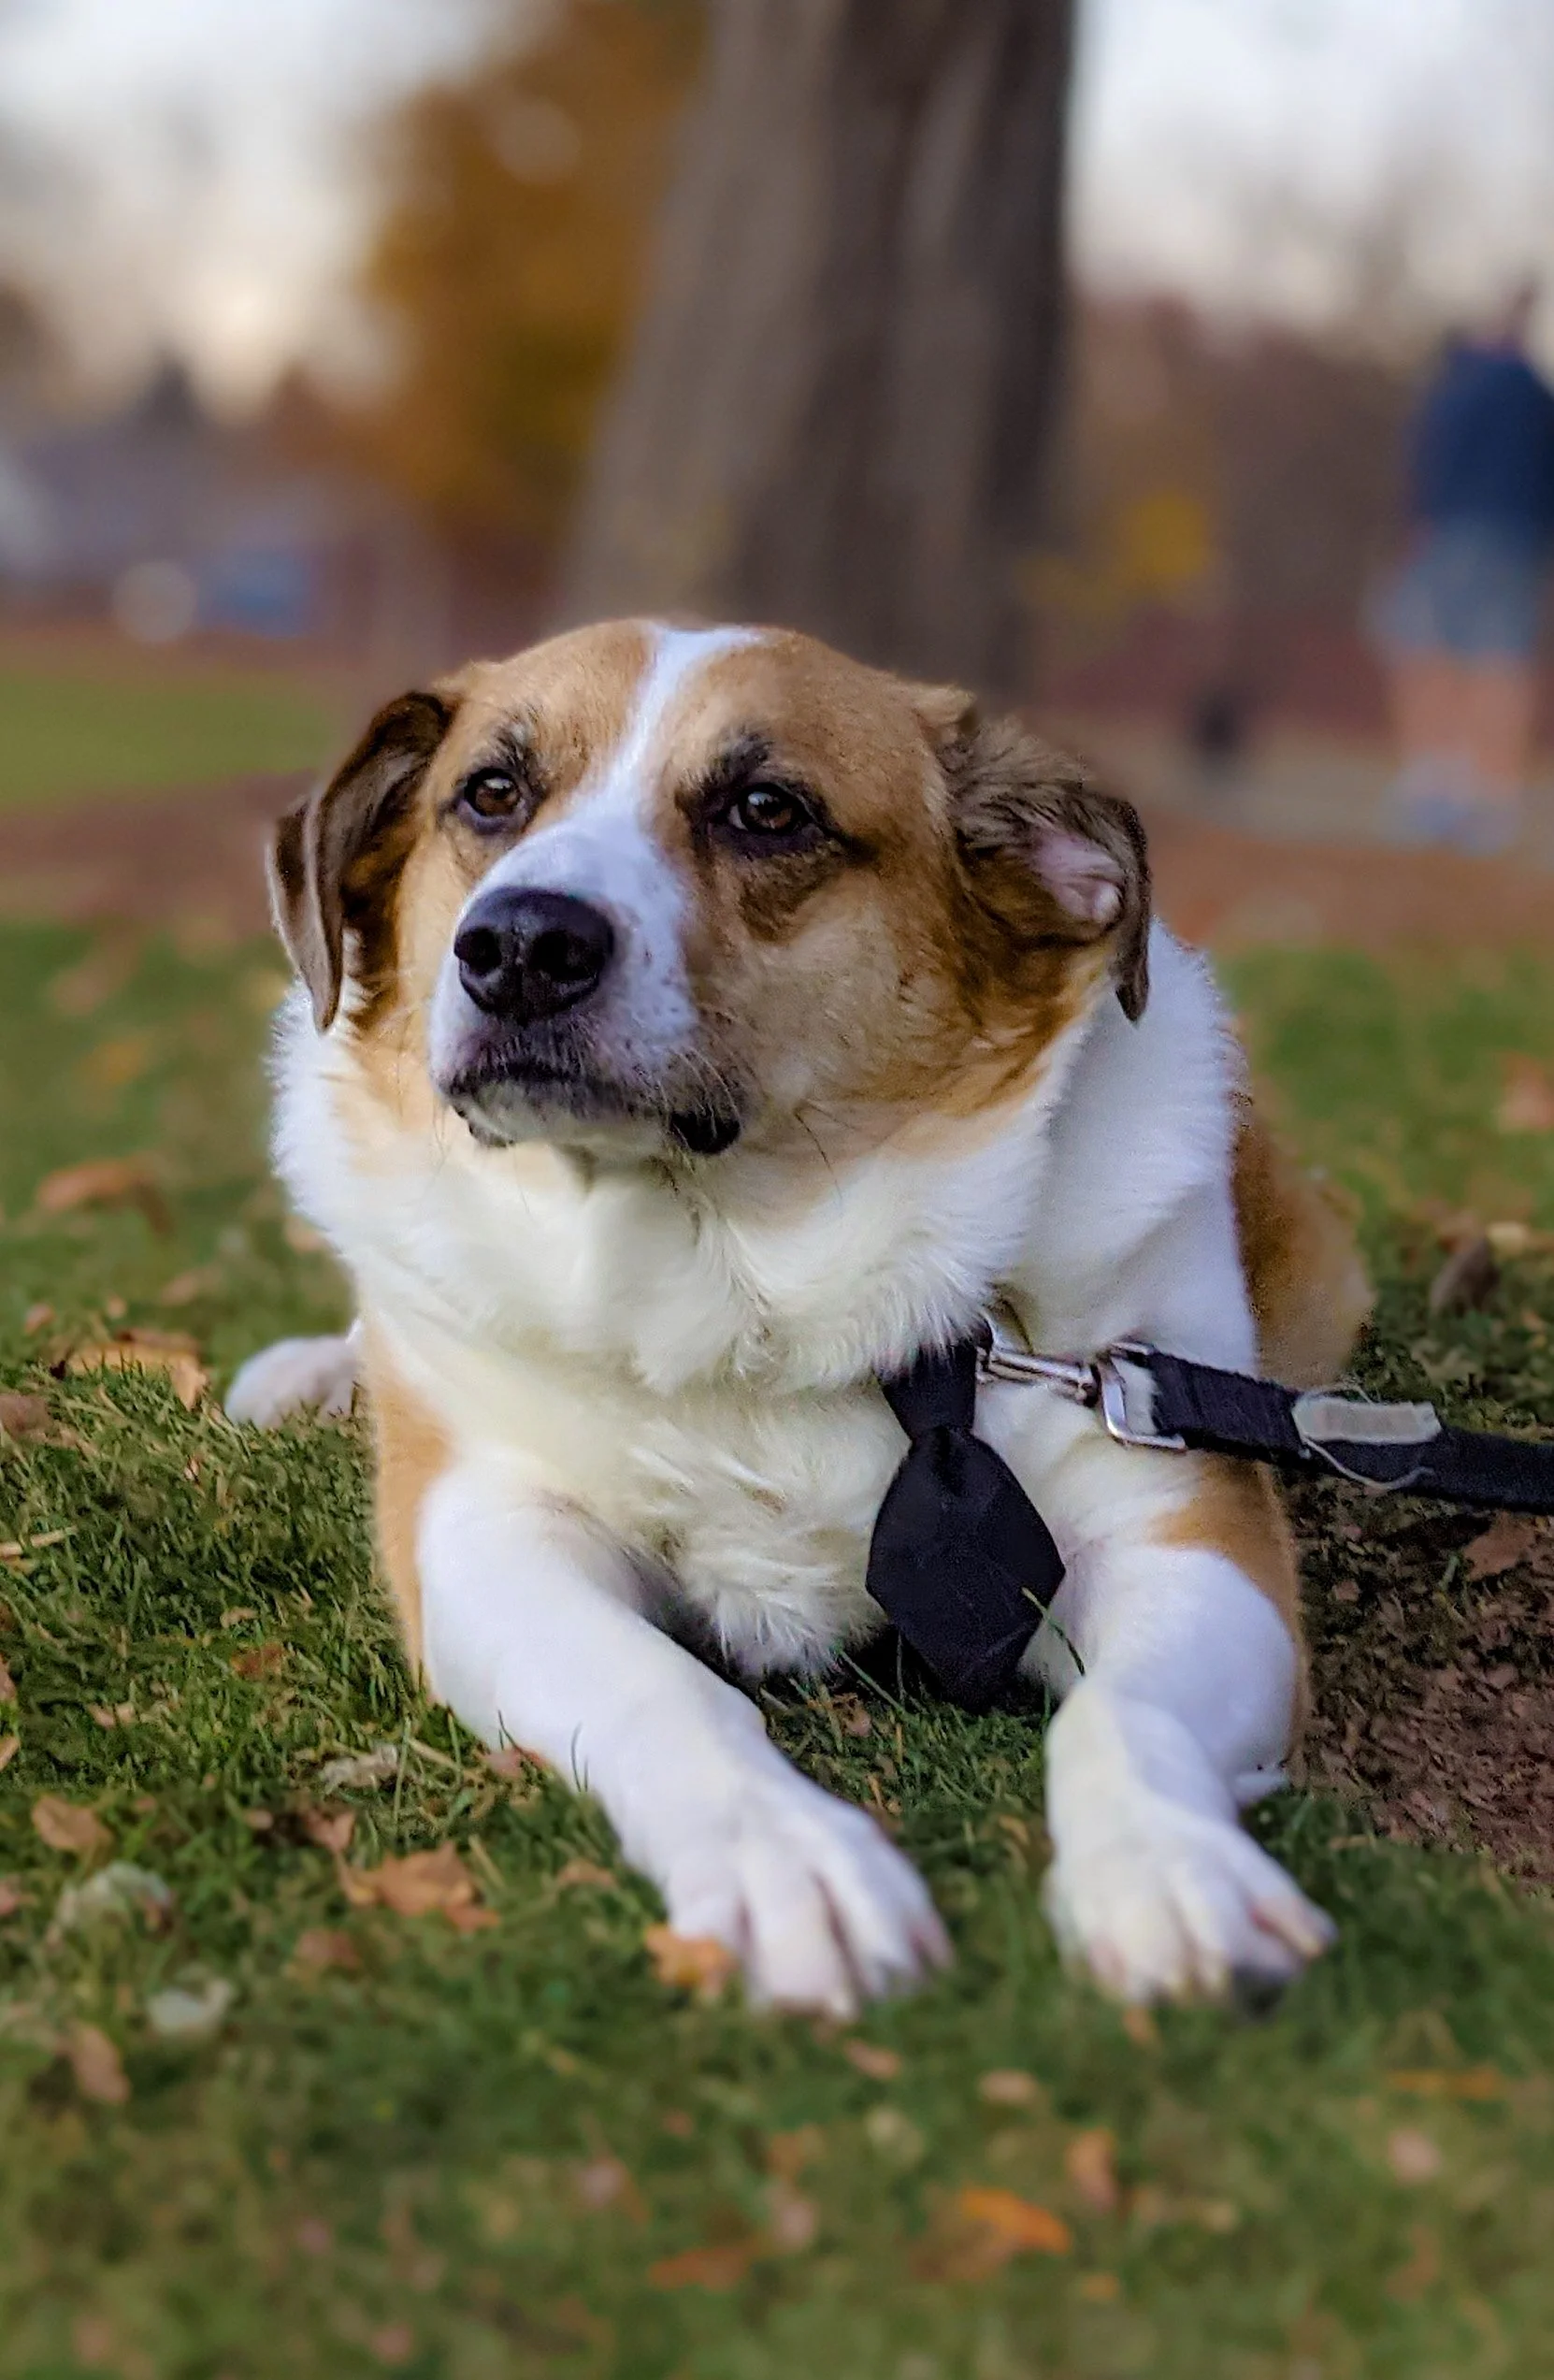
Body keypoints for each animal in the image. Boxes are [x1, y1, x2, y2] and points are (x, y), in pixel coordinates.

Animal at [227, 619, 1369, 2014]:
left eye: (767, 810)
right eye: (490, 793)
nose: (519, 946)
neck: (741, 1278)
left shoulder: (1182, 1524)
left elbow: (1130, 1713)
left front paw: (1166, 1865)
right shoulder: (489, 1530)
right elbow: (660, 1687)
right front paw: (788, 1859)